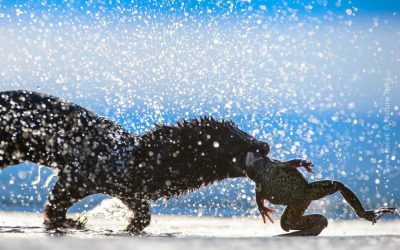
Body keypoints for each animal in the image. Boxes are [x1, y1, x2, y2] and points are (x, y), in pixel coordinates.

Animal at [0, 90, 270, 232]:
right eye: (238, 140)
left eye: (245, 131)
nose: (265, 145)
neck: (141, 161)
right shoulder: (86, 172)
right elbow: (57, 199)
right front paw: (71, 221)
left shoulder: (132, 190)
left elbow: (143, 214)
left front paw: (130, 226)